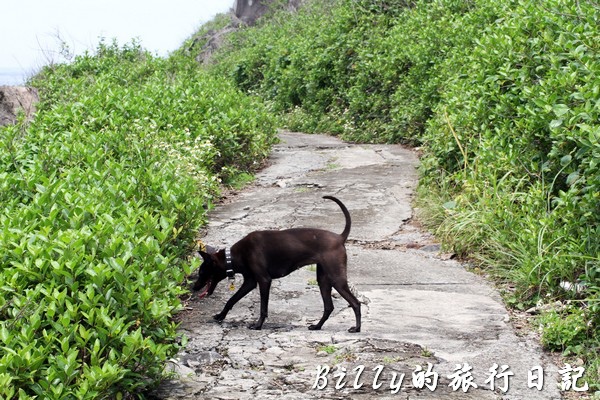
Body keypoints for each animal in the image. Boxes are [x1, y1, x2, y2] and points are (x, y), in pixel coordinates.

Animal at [195, 196, 360, 332]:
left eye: (201, 272)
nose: (193, 288)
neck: (234, 255)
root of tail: (340, 237)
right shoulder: (250, 282)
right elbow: (231, 299)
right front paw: (220, 315)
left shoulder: (264, 281)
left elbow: (263, 308)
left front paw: (258, 325)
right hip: (323, 280)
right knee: (329, 307)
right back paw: (317, 326)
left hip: (336, 278)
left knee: (356, 303)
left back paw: (357, 328)